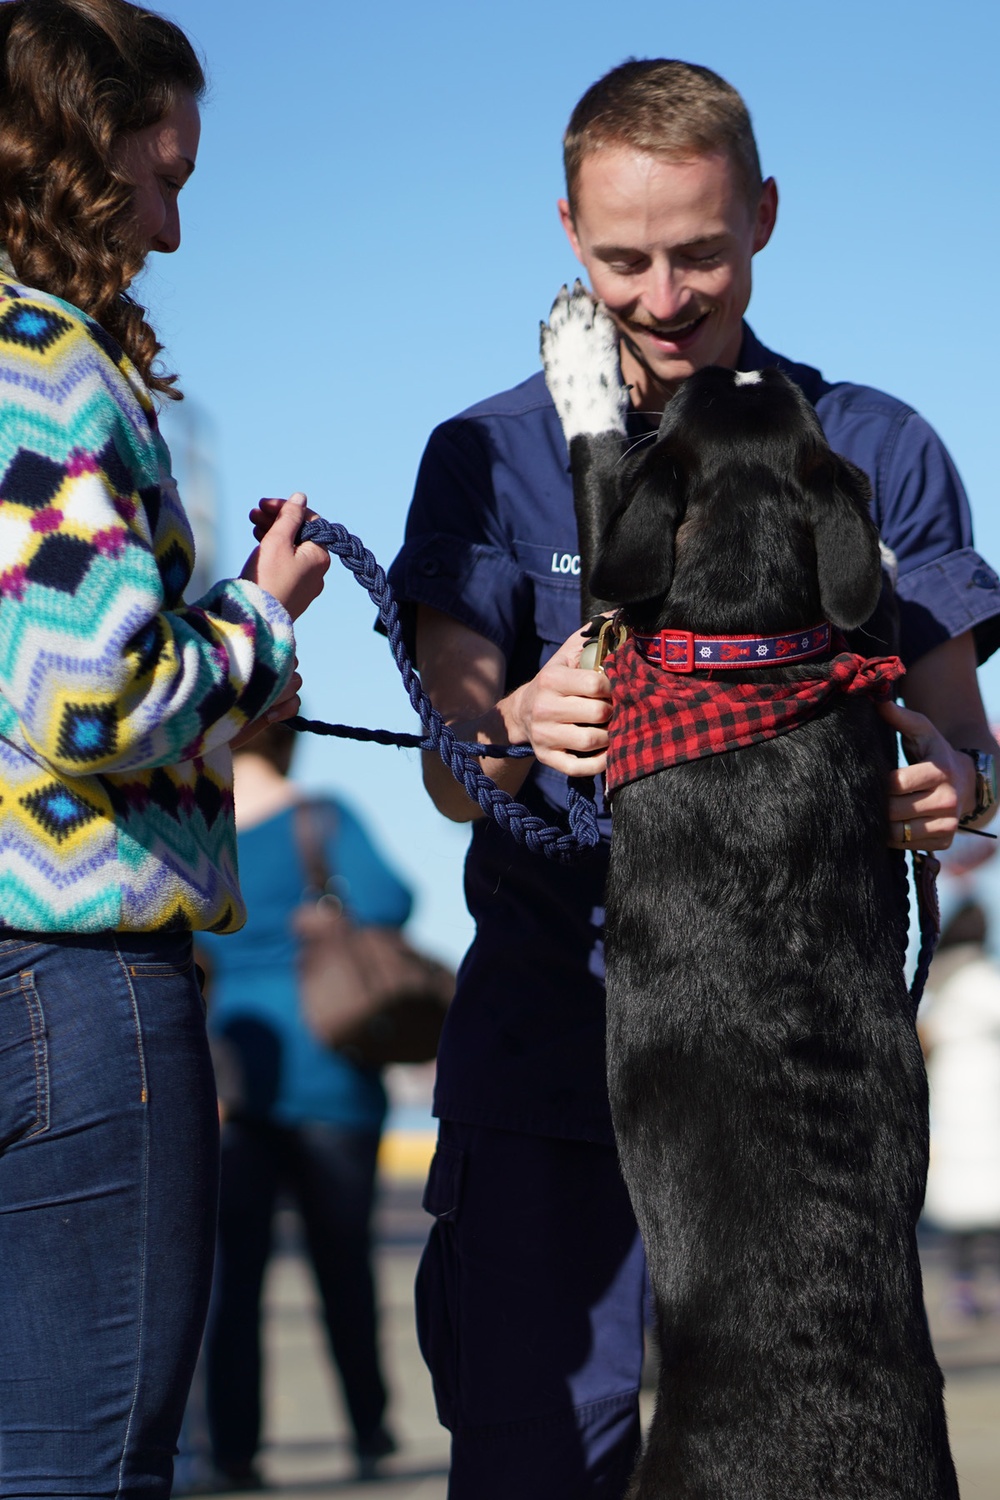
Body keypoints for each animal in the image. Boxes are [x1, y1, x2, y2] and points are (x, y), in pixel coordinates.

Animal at [542, 283, 959, 1500]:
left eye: (684, 406)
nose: (706, 362)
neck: (752, 640)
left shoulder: (616, 602)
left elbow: (596, 472)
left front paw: (581, 355)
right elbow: (869, 602)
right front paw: (882, 550)